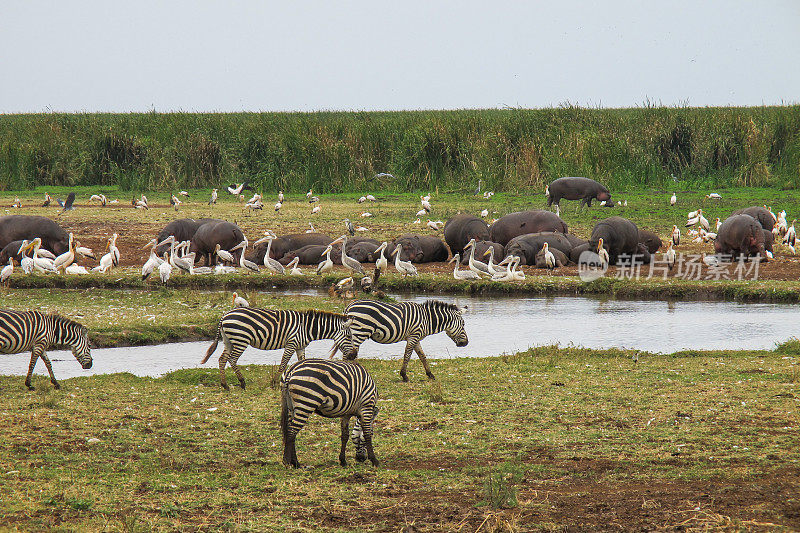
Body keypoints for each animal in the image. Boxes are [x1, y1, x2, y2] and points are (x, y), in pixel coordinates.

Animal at [203, 306, 356, 388]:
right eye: (349, 336)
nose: (354, 355)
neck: (306, 328)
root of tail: (225, 315)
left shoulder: (300, 346)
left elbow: (301, 362)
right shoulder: (291, 343)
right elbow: (283, 364)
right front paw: (274, 382)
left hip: (229, 340)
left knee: (222, 359)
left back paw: (225, 385)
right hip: (241, 339)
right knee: (232, 360)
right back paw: (242, 382)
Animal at [336, 300, 472, 382]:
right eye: (463, 324)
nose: (466, 343)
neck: (427, 319)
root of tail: (349, 306)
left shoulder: (416, 338)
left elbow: (422, 356)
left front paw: (430, 374)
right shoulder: (413, 336)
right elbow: (407, 355)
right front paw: (404, 375)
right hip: (359, 332)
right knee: (347, 355)